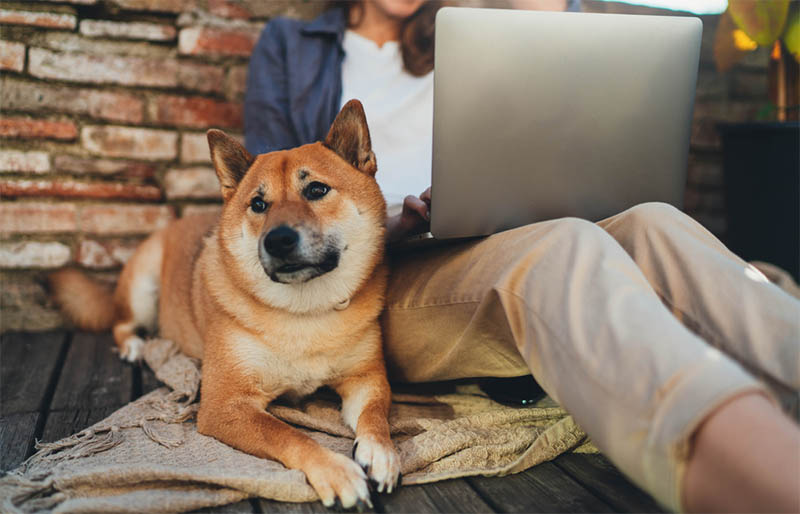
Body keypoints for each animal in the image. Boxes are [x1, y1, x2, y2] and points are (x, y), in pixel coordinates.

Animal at [48, 99, 398, 504]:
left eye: (316, 189)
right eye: (259, 204)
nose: (278, 240)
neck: (304, 310)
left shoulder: (366, 378)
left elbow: (375, 414)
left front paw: (381, 451)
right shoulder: (225, 404)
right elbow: (287, 434)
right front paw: (335, 470)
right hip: (143, 286)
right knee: (121, 322)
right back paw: (136, 346)